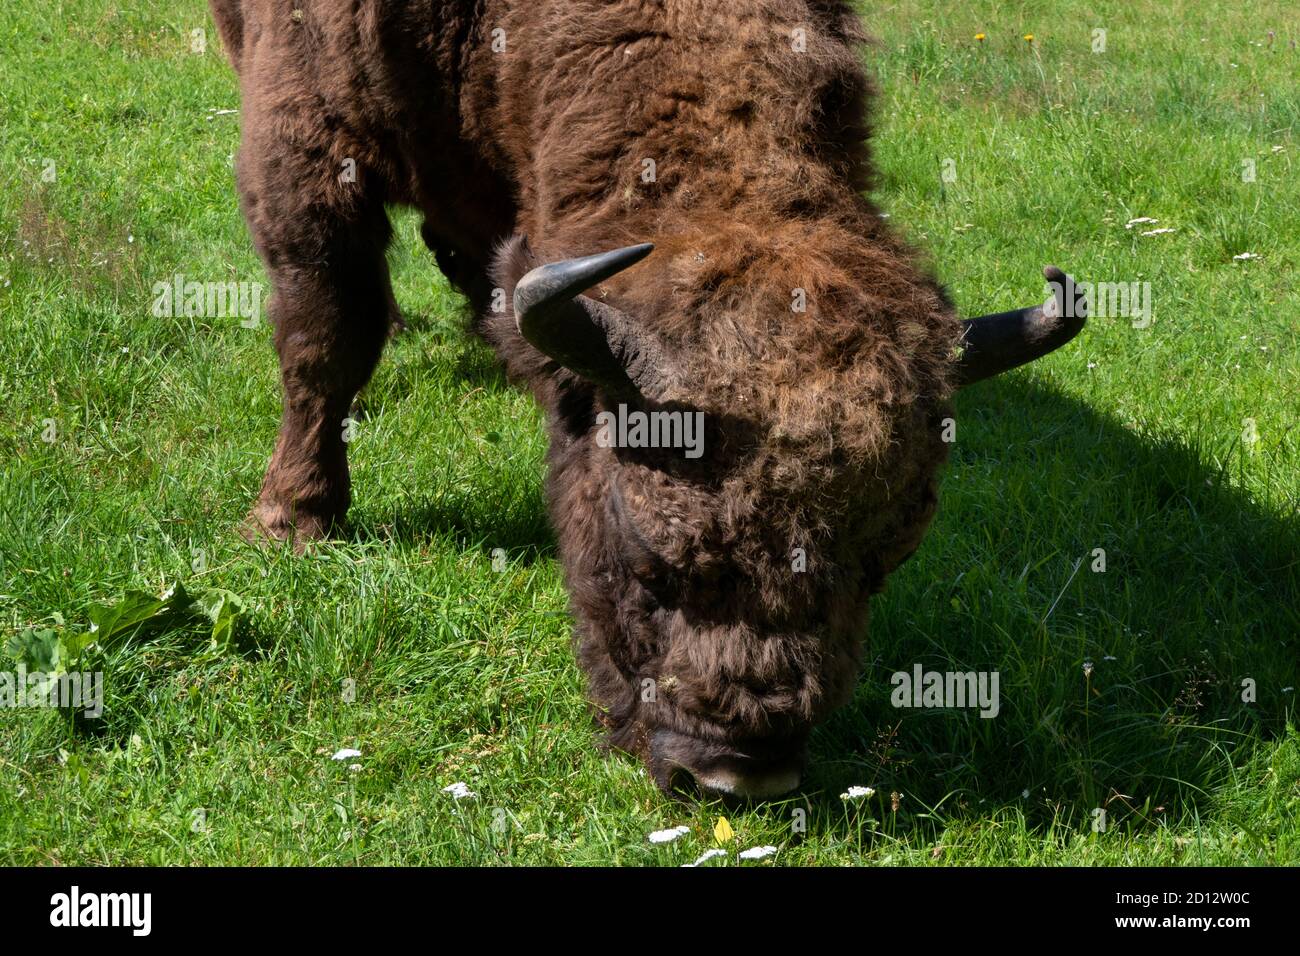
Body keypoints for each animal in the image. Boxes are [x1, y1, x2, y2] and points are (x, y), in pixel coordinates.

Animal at [210, 0, 1086, 801]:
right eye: (651, 561)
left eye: (885, 563)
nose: (736, 776)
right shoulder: (307, 139)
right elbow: (327, 336)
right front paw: (291, 520)